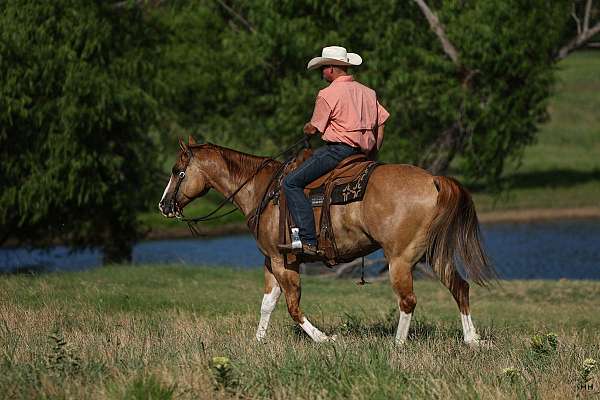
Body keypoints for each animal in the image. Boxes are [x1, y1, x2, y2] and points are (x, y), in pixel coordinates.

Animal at [158, 136, 496, 346]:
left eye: (177, 171)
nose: (163, 205)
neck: (262, 191)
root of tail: (434, 180)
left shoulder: (283, 261)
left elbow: (293, 307)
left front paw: (324, 339)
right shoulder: (270, 261)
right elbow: (268, 303)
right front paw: (258, 341)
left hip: (399, 259)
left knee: (408, 300)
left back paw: (397, 345)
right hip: (433, 255)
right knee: (459, 287)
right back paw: (472, 340)